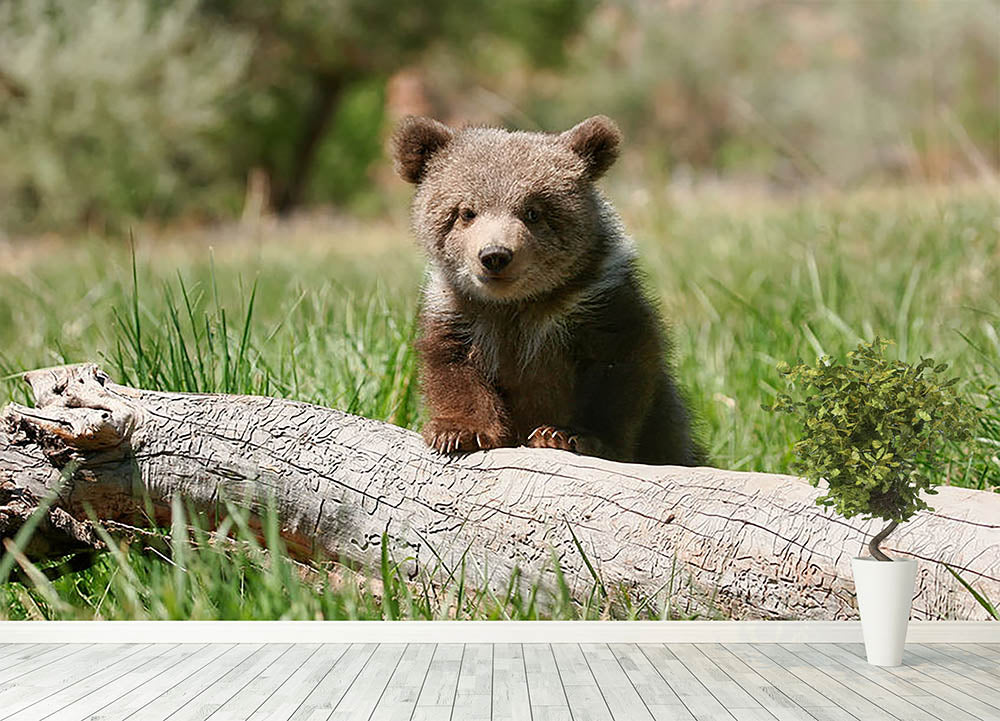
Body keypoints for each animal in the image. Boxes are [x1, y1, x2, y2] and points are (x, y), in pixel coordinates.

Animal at [391, 114, 704, 466]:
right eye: (466, 212)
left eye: (533, 211)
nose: (495, 255)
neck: (518, 304)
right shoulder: (460, 311)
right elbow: (453, 367)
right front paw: (458, 432)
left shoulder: (596, 303)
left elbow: (616, 372)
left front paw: (567, 435)